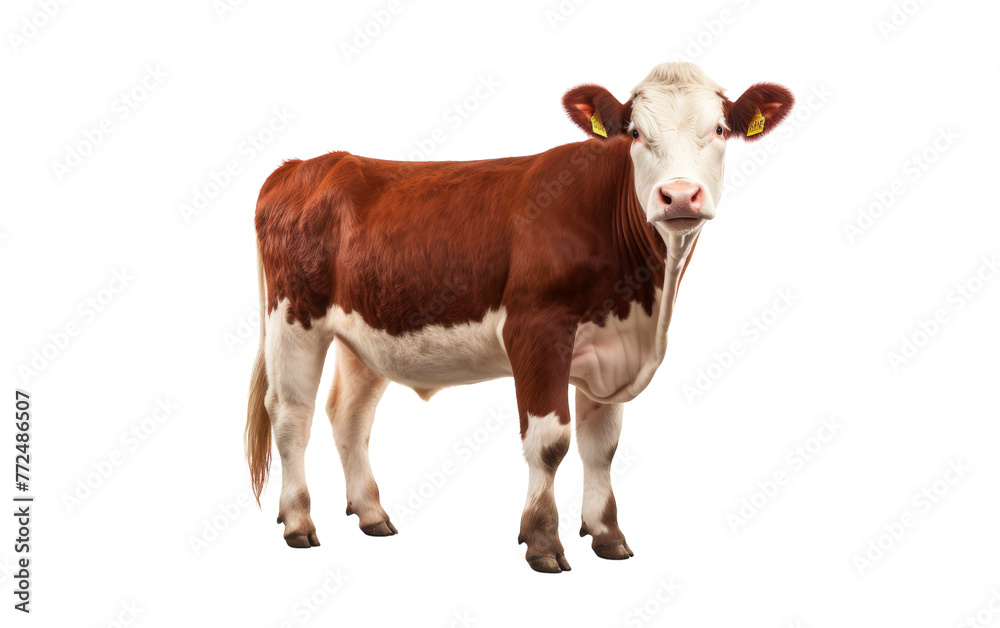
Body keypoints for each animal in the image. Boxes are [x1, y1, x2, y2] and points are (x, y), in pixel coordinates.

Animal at [246, 63, 792, 576]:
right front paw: (543, 541)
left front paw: (607, 534)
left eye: (719, 129)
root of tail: (304, 165)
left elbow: (602, 447)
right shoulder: (536, 330)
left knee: (349, 416)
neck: (644, 303)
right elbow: (550, 443)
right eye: (636, 132)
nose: (679, 196)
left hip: (364, 332)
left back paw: (372, 513)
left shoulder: (609, 351)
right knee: (291, 415)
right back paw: (298, 521)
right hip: (294, 318)